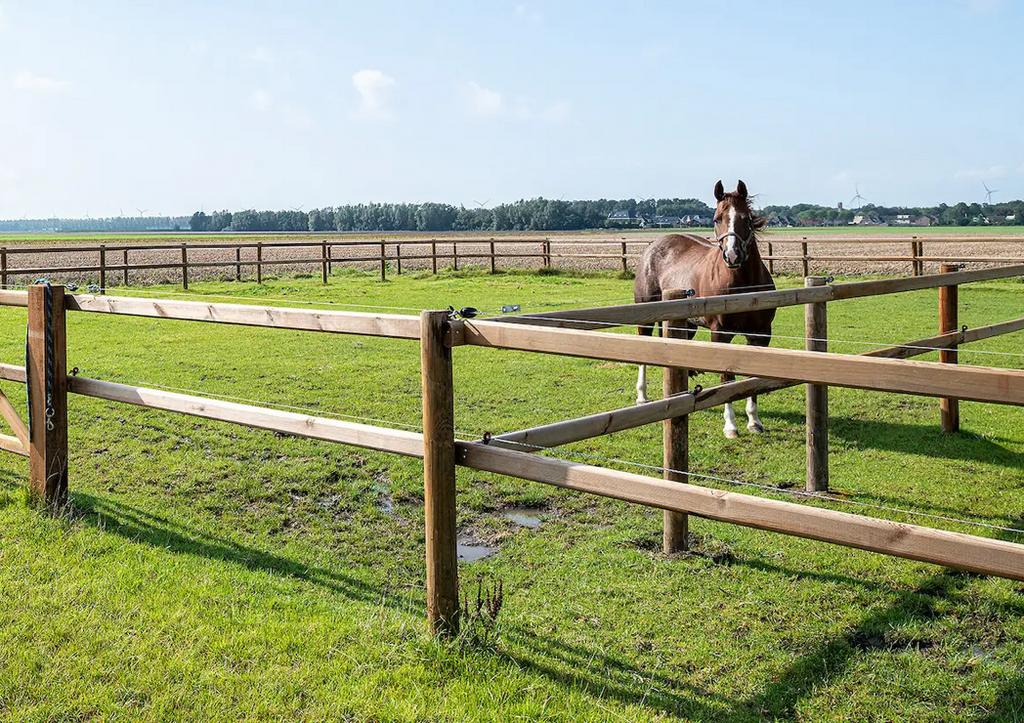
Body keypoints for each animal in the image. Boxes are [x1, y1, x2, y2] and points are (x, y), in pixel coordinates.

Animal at [633, 179, 775, 439]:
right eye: (716, 218)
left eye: (746, 218)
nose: (732, 255)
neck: (744, 286)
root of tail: (653, 246)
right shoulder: (720, 334)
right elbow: (727, 378)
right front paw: (730, 426)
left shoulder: (760, 335)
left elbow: (753, 378)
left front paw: (754, 421)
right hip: (645, 316)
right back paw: (642, 397)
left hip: (687, 325)